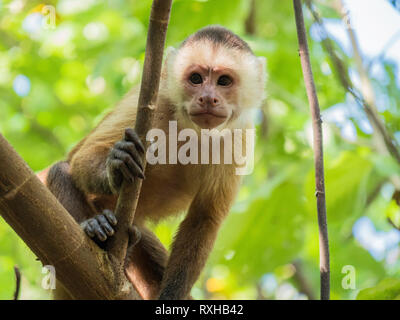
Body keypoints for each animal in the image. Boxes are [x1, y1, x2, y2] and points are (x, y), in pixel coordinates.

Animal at [41, 25, 266, 300]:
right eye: (196, 79)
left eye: (223, 81)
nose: (207, 98)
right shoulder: (154, 102)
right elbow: (83, 156)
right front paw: (116, 168)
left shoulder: (239, 136)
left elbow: (204, 219)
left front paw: (170, 297)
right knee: (60, 171)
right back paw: (97, 228)